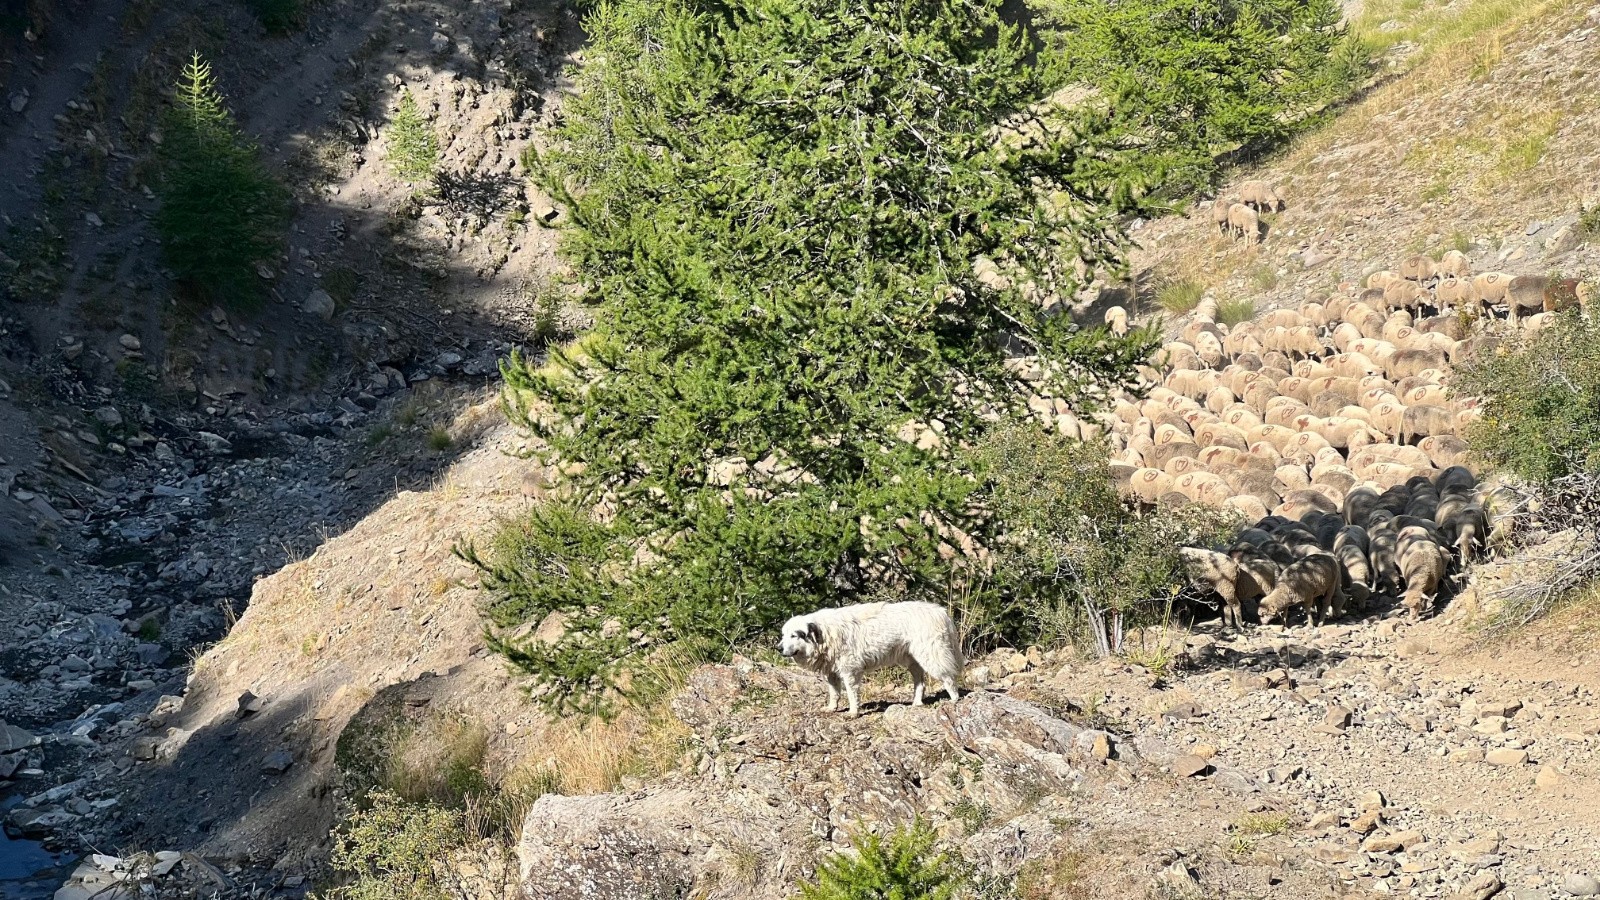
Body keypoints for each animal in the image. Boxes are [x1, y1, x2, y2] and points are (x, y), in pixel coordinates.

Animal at [777, 598, 960, 717]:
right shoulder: (832, 673)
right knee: (920, 682)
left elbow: (851, 694)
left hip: (932, 656)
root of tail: (940, 612)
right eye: (784, 635)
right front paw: (831, 708)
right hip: (912, 660)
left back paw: (954, 700)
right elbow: (834, 693)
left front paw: (853, 712)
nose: (778, 648)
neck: (826, 634)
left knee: (949, 678)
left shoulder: (850, 671)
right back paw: (916, 703)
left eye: (794, 635)